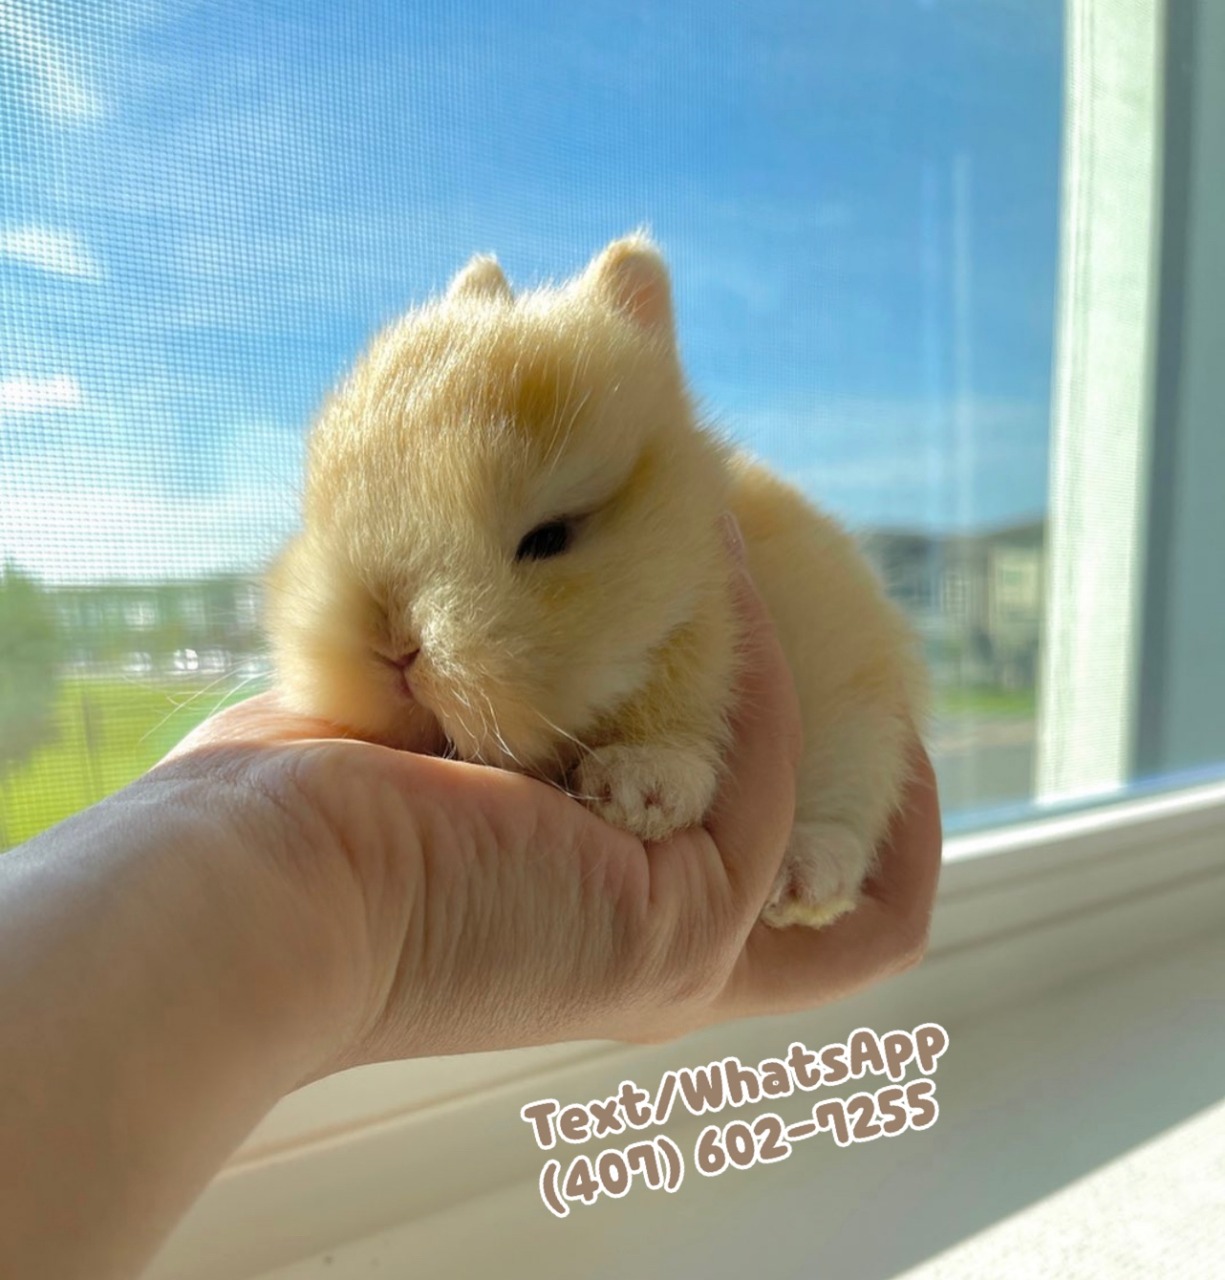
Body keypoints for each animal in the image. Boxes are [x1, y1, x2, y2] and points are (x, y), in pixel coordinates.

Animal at [264, 235, 929, 928]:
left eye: (550, 537)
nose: (393, 648)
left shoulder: (713, 637)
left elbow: (687, 716)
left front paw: (634, 788)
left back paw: (802, 882)